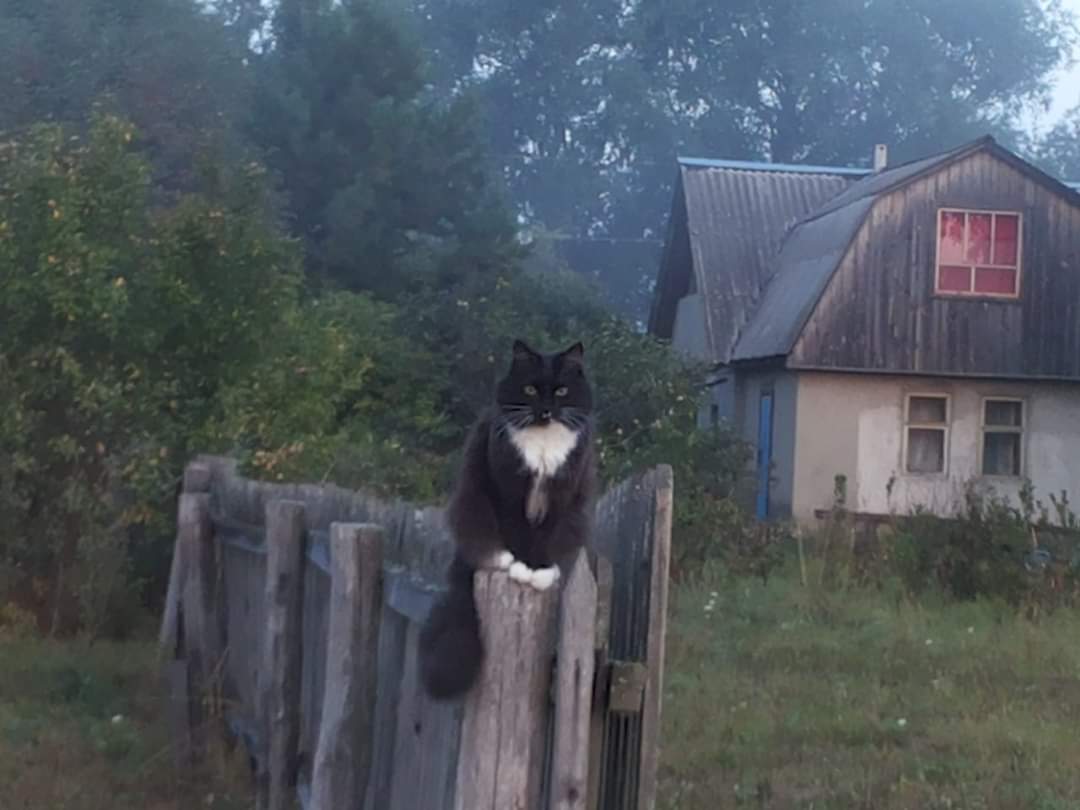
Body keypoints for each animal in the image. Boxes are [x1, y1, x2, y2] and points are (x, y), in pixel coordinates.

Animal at [414, 339, 600, 699]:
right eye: (530, 389)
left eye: (561, 390)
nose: (545, 410)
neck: (542, 445)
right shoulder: (507, 492)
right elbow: (517, 531)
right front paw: (521, 568)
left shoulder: (561, 497)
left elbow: (543, 538)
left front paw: (538, 570)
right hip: (471, 506)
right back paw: (501, 560)